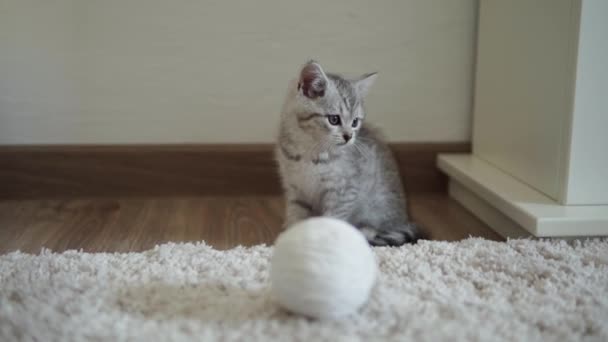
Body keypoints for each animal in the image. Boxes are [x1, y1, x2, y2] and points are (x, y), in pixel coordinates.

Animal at [278, 60, 420, 246]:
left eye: (355, 122)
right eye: (334, 119)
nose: (348, 136)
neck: (311, 150)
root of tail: (404, 220)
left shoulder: (343, 192)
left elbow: (332, 220)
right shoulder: (296, 191)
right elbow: (297, 219)